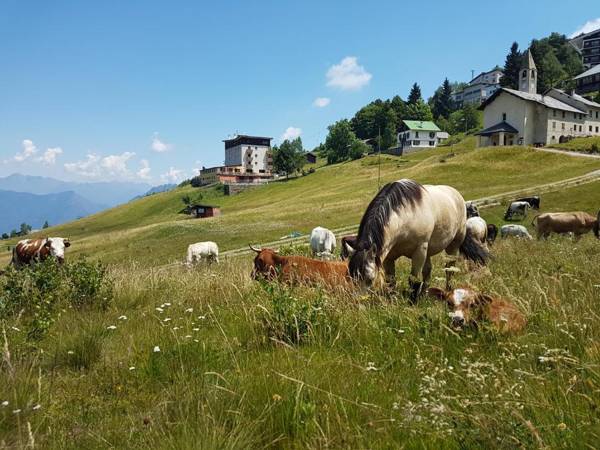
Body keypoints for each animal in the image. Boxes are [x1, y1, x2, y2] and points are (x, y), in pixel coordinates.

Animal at [344, 178, 490, 300]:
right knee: (428, 271)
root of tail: (457, 195)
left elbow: (413, 279)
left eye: (370, 279)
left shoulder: (419, 250)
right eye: (351, 278)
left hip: (453, 245)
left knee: (450, 268)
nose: (359, 301)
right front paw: (393, 298)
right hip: (429, 250)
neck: (405, 217)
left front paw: (412, 301)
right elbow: (391, 280)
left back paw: (448, 291)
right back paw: (425, 293)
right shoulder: (389, 256)